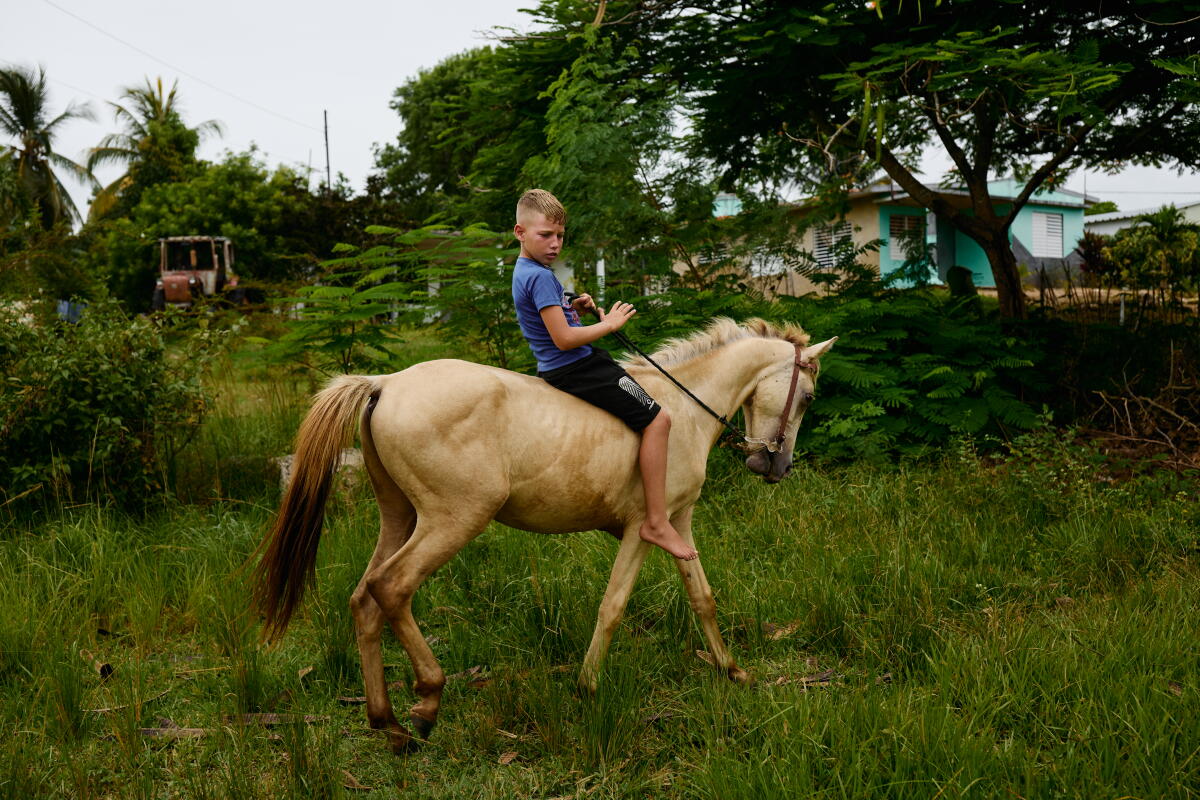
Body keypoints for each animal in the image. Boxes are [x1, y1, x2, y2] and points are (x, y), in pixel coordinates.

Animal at [252, 317, 837, 753]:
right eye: (808, 396)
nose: (777, 465)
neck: (685, 405)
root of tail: (386, 383)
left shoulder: (681, 522)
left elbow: (703, 597)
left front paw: (732, 671)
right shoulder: (644, 530)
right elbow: (613, 605)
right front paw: (588, 686)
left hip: (400, 518)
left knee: (364, 599)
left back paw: (389, 724)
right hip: (452, 520)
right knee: (391, 588)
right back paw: (428, 700)